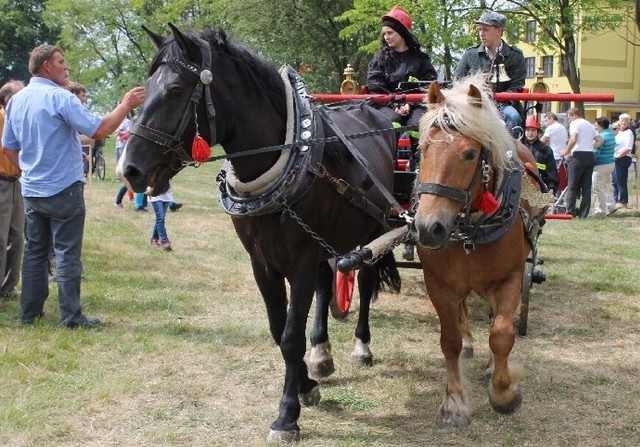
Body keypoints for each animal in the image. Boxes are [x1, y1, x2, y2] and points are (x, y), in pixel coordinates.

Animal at [117, 25, 400, 444]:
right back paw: (321, 354)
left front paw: (287, 415)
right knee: (326, 283)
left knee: (363, 282)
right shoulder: (262, 263)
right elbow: (277, 328)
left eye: (174, 91)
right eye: (146, 87)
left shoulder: (299, 262)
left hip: (376, 227)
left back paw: (361, 347)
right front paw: (305, 385)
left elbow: (290, 336)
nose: (130, 169)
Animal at [410, 76, 544, 428]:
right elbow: (449, 339)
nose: (428, 227)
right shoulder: (439, 284)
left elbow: (501, 333)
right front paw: (455, 402)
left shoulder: (511, 278)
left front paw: (504, 392)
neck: (471, 228)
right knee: (464, 312)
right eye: (422, 149)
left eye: (470, 154)